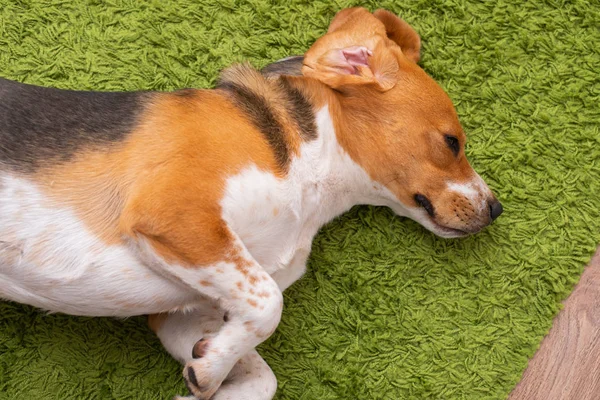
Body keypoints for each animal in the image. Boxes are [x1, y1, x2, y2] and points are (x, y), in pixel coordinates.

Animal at [0, 7, 502, 400]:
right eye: (452, 142)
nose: (496, 208)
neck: (311, 173)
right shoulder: (176, 214)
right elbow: (269, 304)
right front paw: (212, 371)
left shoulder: (183, 312)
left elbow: (262, 377)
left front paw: (205, 376)